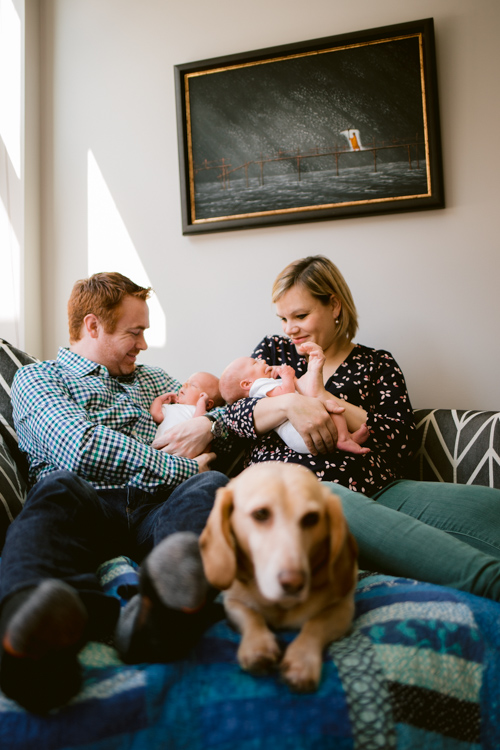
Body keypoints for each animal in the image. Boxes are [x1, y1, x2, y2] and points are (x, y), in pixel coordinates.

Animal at [197, 462, 358, 696]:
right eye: (261, 514)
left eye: (312, 518)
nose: (294, 583)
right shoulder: (233, 603)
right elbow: (252, 615)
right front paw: (258, 645)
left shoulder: (343, 609)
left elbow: (315, 624)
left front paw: (301, 661)